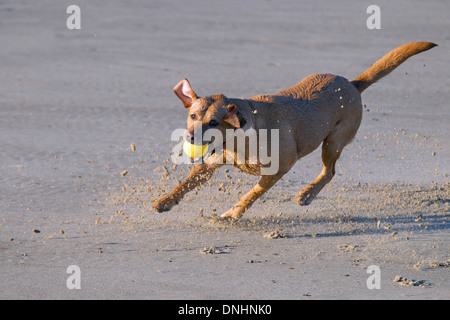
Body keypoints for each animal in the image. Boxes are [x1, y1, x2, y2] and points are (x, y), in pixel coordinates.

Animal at [151, 41, 436, 219]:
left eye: (214, 122)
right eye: (193, 115)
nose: (189, 136)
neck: (241, 138)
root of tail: (353, 84)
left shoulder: (278, 169)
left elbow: (251, 195)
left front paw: (232, 213)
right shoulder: (210, 163)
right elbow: (185, 184)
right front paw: (166, 201)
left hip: (333, 142)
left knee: (329, 172)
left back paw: (308, 194)